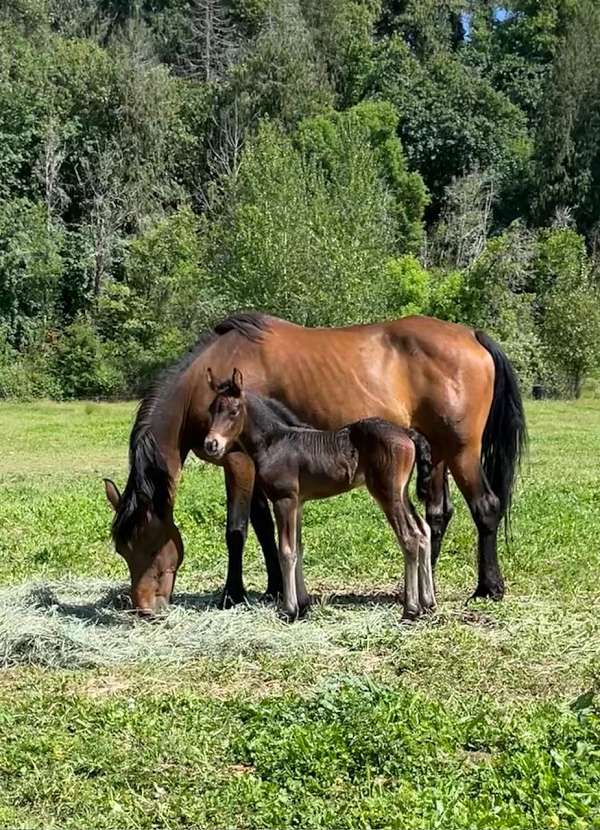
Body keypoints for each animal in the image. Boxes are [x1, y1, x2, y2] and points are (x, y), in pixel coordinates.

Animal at [204, 368, 434, 620]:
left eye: (233, 411)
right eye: (211, 409)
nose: (211, 444)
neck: (274, 443)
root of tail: (406, 432)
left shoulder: (284, 500)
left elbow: (286, 551)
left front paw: (289, 609)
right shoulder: (298, 502)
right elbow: (298, 547)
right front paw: (304, 605)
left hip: (387, 493)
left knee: (409, 537)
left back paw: (411, 609)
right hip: (402, 493)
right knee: (423, 531)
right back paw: (428, 603)